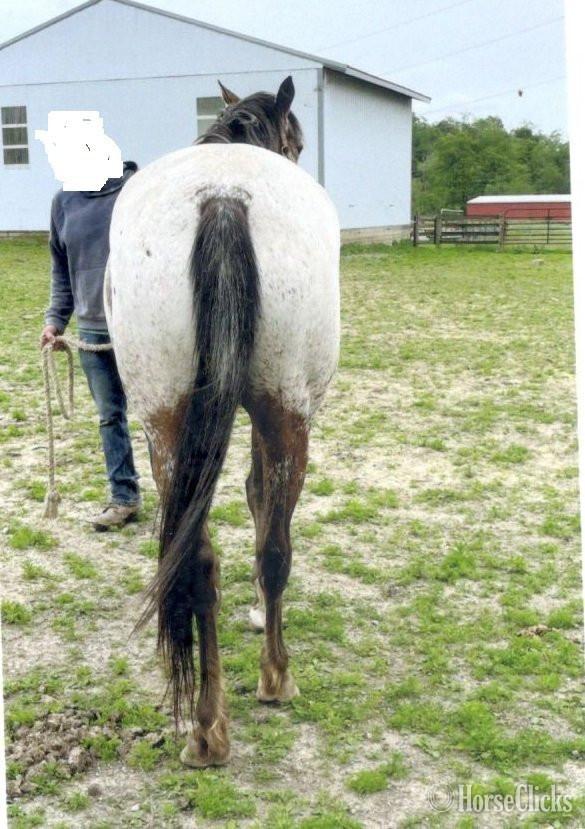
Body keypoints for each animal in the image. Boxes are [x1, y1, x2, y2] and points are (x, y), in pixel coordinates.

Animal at [105, 76, 340, 767]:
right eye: (297, 142)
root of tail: (224, 198)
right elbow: (260, 499)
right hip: (286, 411)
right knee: (274, 546)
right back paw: (275, 678)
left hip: (165, 422)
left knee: (198, 560)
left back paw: (208, 729)